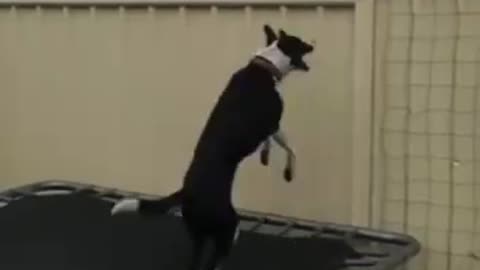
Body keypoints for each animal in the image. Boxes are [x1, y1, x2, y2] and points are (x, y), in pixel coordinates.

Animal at [111, 25, 316, 270]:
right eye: (300, 42)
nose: (314, 44)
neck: (265, 65)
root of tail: (186, 192)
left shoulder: (267, 129)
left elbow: (271, 145)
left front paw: (265, 156)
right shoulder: (272, 124)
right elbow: (290, 149)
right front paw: (288, 171)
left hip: (198, 235)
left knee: (197, 261)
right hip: (229, 230)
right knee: (214, 261)